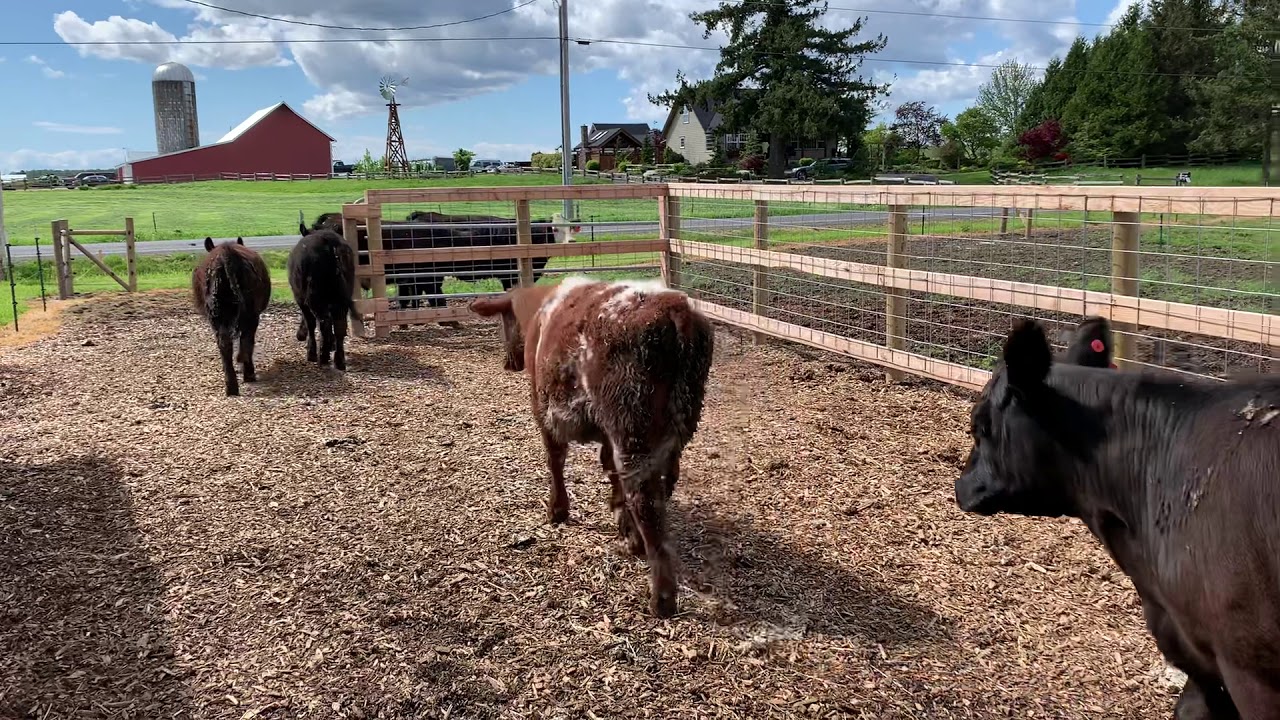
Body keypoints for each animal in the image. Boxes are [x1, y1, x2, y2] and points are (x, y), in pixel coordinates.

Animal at [191, 236, 272, 396]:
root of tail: (226, 252)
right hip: (249, 314)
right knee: (245, 341)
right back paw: (247, 375)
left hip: (218, 315)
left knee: (226, 343)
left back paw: (232, 385)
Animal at [287, 224, 360, 371]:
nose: (300, 336)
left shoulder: (300, 299)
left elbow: (310, 322)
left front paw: (311, 352)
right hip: (342, 297)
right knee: (339, 325)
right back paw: (339, 360)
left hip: (314, 297)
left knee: (324, 322)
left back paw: (323, 356)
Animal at [470, 277, 715, 618]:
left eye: (505, 321)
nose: (509, 363)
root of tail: (674, 308)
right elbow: (609, 468)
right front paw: (618, 514)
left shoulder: (543, 408)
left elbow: (555, 460)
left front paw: (557, 509)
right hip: (676, 428)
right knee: (663, 486)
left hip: (632, 430)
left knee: (645, 502)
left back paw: (660, 595)